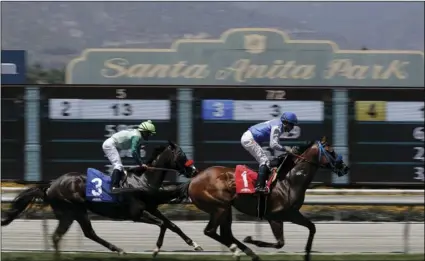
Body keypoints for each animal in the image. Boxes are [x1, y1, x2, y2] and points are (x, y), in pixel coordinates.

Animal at [1, 140, 203, 256]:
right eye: (182, 155)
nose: (194, 171)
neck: (143, 180)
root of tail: (51, 186)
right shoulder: (136, 214)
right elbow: (163, 225)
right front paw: (155, 249)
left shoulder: (151, 208)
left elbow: (172, 225)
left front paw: (195, 245)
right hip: (74, 210)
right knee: (81, 233)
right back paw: (117, 249)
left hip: (71, 214)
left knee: (68, 235)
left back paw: (116, 249)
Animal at [187, 136, 350, 260]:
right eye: (331, 151)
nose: (345, 167)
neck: (290, 180)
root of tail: (194, 178)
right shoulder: (275, 216)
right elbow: (280, 243)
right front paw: (252, 240)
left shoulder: (292, 214)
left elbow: (312, 227)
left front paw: (307, 255)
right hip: (219, 207)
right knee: (210, 231)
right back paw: (238, 250)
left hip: (226, 209)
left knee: (226, 233)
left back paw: (248, 252)